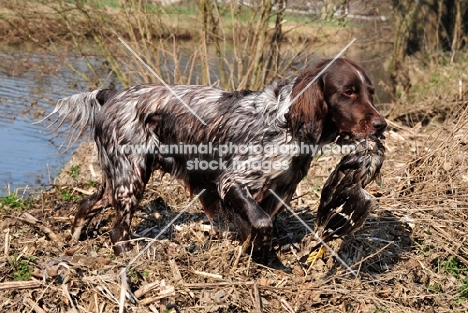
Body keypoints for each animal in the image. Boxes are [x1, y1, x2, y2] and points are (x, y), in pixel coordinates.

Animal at [44, 57, 388, 255]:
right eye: (348, 91)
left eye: (370, 92)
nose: (382, 125)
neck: (286, 121)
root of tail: (113, 94)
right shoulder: (231, 181)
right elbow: (261, 222)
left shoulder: (280, 191)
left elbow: (261, 222)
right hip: (131, 181)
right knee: (118, 232)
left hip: (119, 178)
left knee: (87, 204)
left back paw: (73, 239)